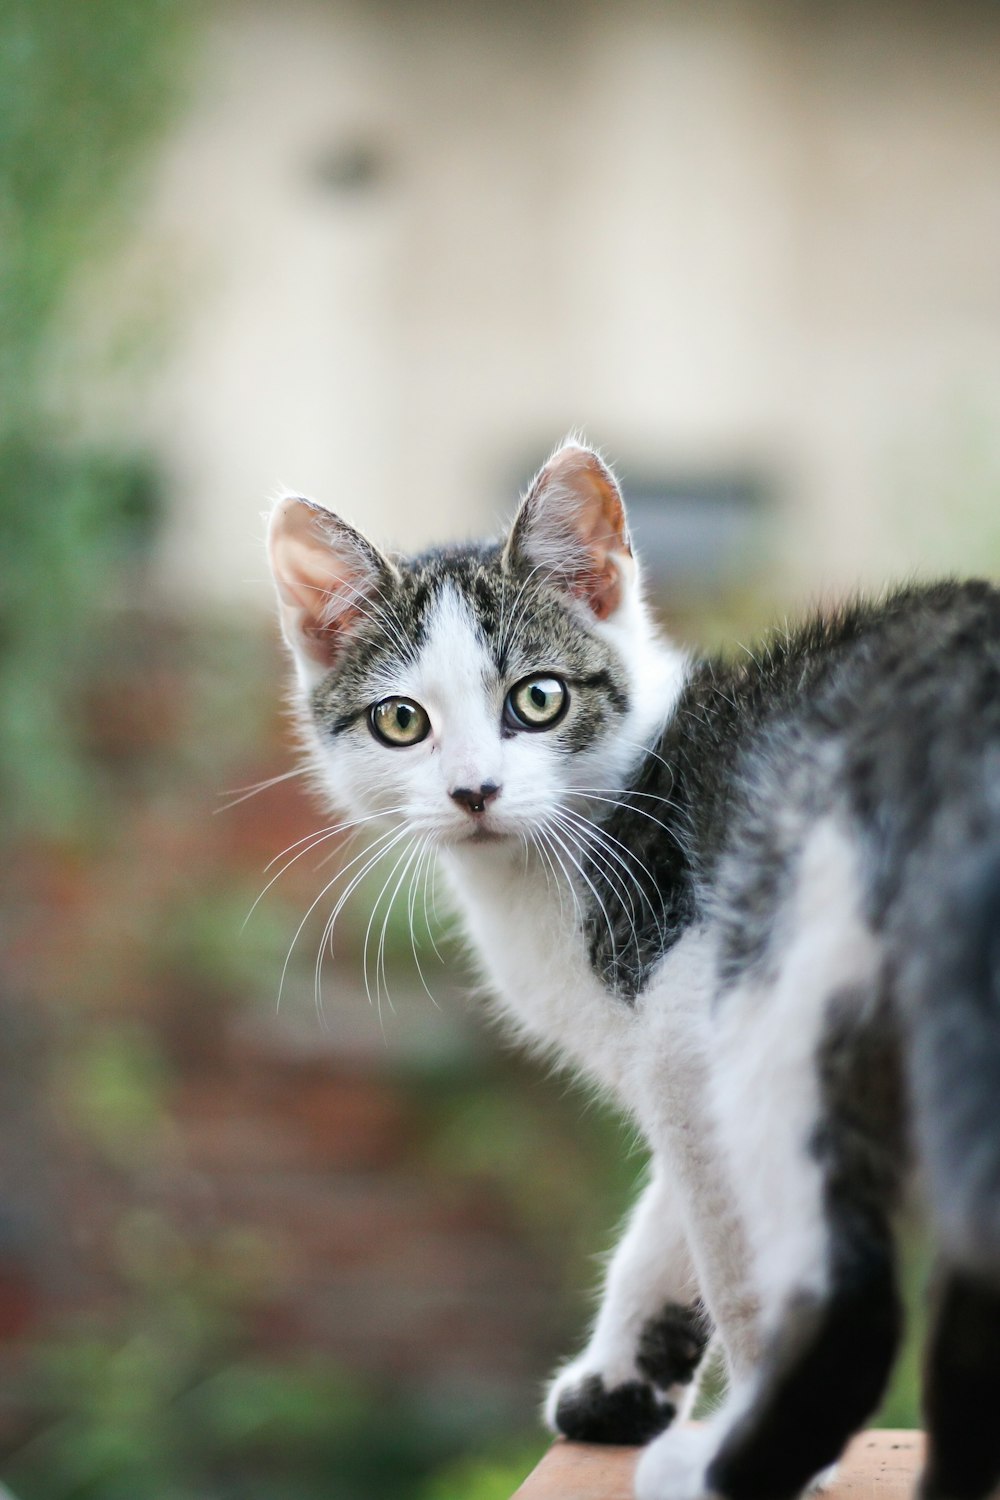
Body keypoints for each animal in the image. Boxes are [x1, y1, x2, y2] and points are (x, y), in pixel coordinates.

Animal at [268, 438, 1000, 1500]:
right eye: (400, 721)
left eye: (537, 698)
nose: (475, 791)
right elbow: (666, 1222)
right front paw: (621, 1385)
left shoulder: (686, 1029)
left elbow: (729, 1246)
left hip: (787, 963)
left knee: (850, 1296)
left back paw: (729, 1467)